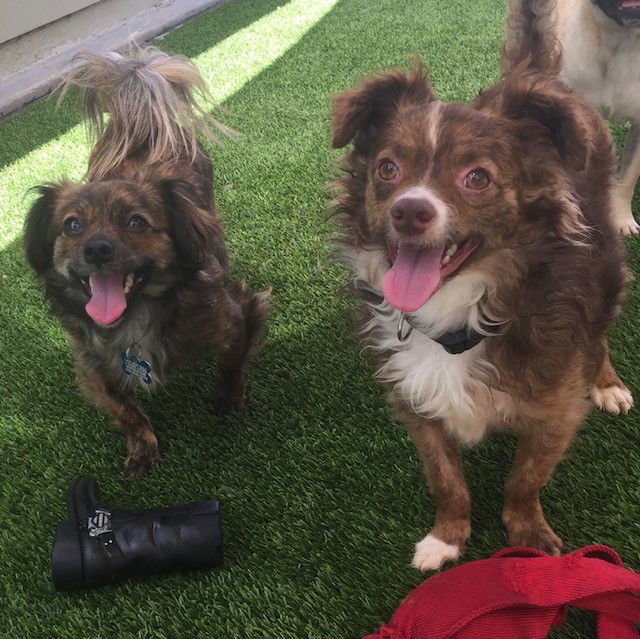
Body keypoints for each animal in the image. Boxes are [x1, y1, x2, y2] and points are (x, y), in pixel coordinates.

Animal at [23, 50, 268, 478]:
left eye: (136, 222)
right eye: (72, 225)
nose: (96, 249)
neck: (137, 319)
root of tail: (144, 129)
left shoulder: (240, 315)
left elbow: (231, 362)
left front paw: (228, 397)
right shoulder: (92, 365)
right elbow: (126, 410)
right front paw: (142, 446)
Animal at [332, 61, 632, 568]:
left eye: (477, 178)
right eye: (387, 169)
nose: (408, 210)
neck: (458, 313)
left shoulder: (557, 414)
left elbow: (524, 479)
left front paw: (529, 535)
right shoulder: (417, 406)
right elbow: (446, 481)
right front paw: (447, 536)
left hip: (606, 265)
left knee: (599, 333)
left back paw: (607, 383)